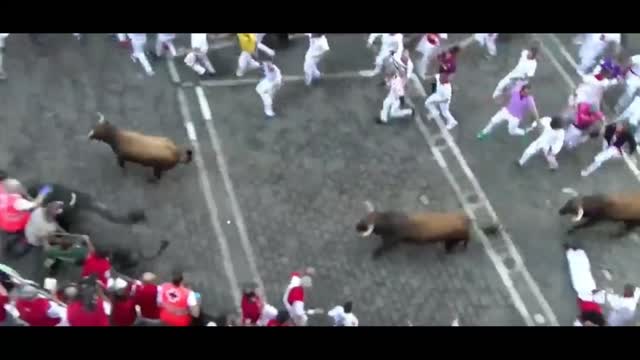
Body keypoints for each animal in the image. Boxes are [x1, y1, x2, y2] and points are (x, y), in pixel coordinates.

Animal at [356, 202, 500, 258]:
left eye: (364, 224)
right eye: (363, 218)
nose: (356, 226)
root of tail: (468, 220)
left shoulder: (393, 239)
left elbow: (385, 246)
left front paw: (376, 254)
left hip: (456, 239)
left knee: (463, 242)